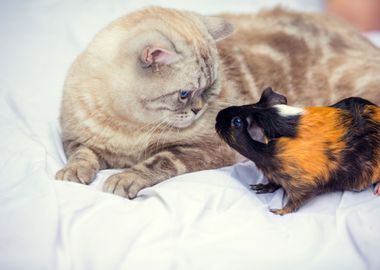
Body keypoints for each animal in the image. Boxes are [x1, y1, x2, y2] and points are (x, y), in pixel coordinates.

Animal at [55, 6, 380, 198]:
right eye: (184, 94)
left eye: (210, 89)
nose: (199, 109)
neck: (130, 128)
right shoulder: (75, 140)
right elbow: (82, 154)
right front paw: (73, 173)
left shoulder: (205, 149)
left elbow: (159, 161)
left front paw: (125, 179)